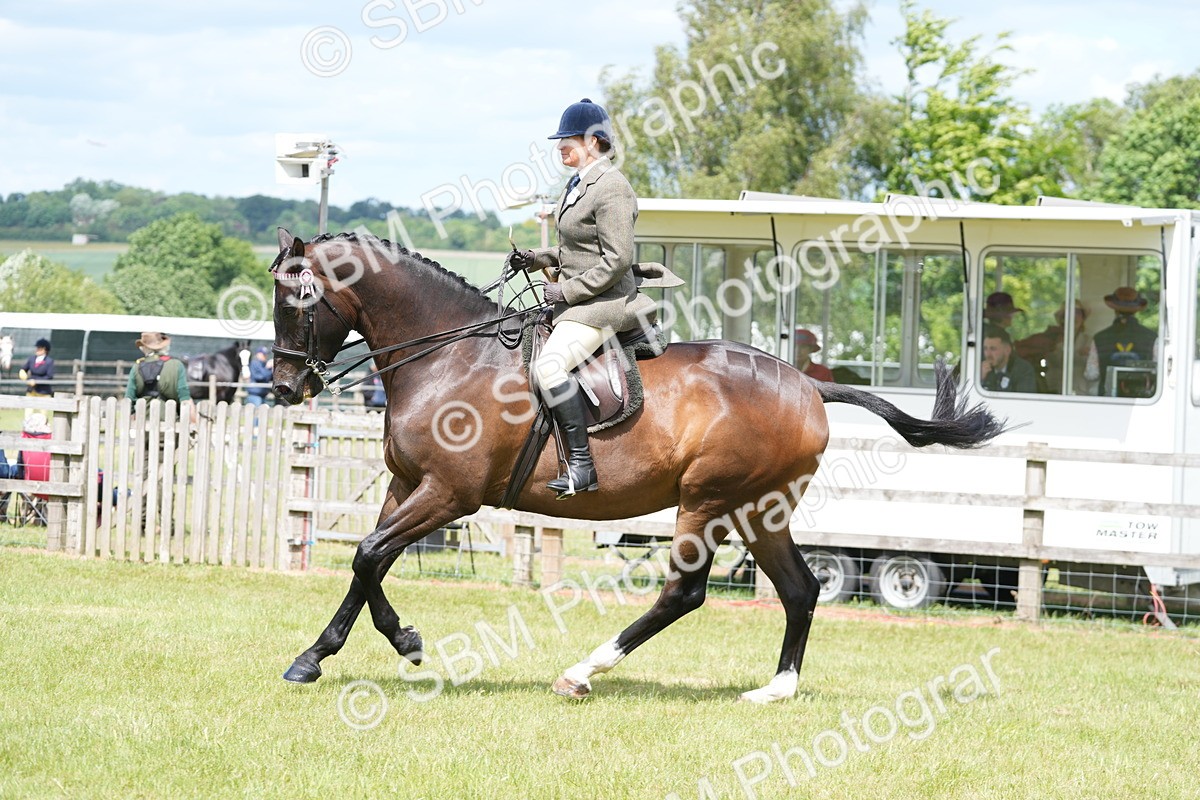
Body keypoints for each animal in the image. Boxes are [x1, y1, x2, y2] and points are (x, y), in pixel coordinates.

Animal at [267, 229, 1005, 703]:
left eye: (295, 301)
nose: (284, 387)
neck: (448, 355)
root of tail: (807, 385)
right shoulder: (405, 485)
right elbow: (370, 563)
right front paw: (364, 648)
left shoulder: (450, 494)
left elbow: (367, 554)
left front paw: (357, 651)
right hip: (759, 510)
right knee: (799, 590)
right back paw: (777, 689)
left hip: (707, 500)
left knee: (685, 592)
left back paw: (582, 673)